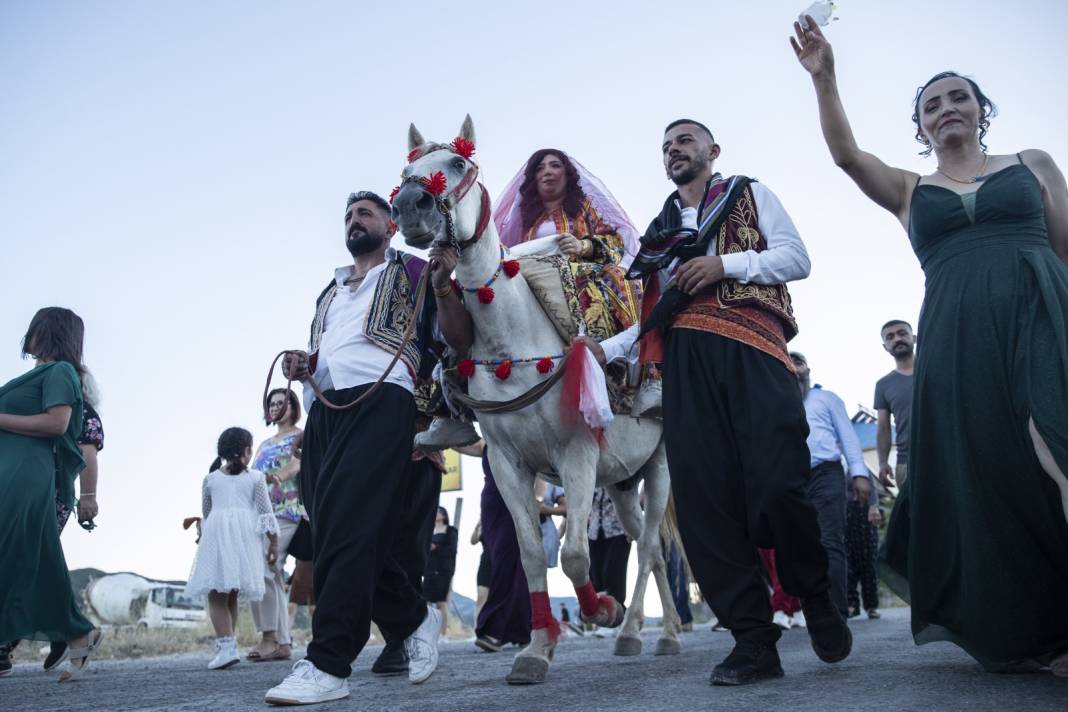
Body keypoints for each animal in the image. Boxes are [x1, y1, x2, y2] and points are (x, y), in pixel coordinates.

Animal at [393, 116, 683, 683]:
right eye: (405, 172)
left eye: (456, 163)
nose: (411, 204)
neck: (513, 342)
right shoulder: (509, 465)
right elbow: (530, 553)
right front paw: (536, 648)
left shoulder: (577, 454)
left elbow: (573, 556)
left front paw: (601, 610)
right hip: (621, 481)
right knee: (652, 548)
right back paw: (655, 632)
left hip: (658, 466)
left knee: (649, 547)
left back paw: (644, 632)